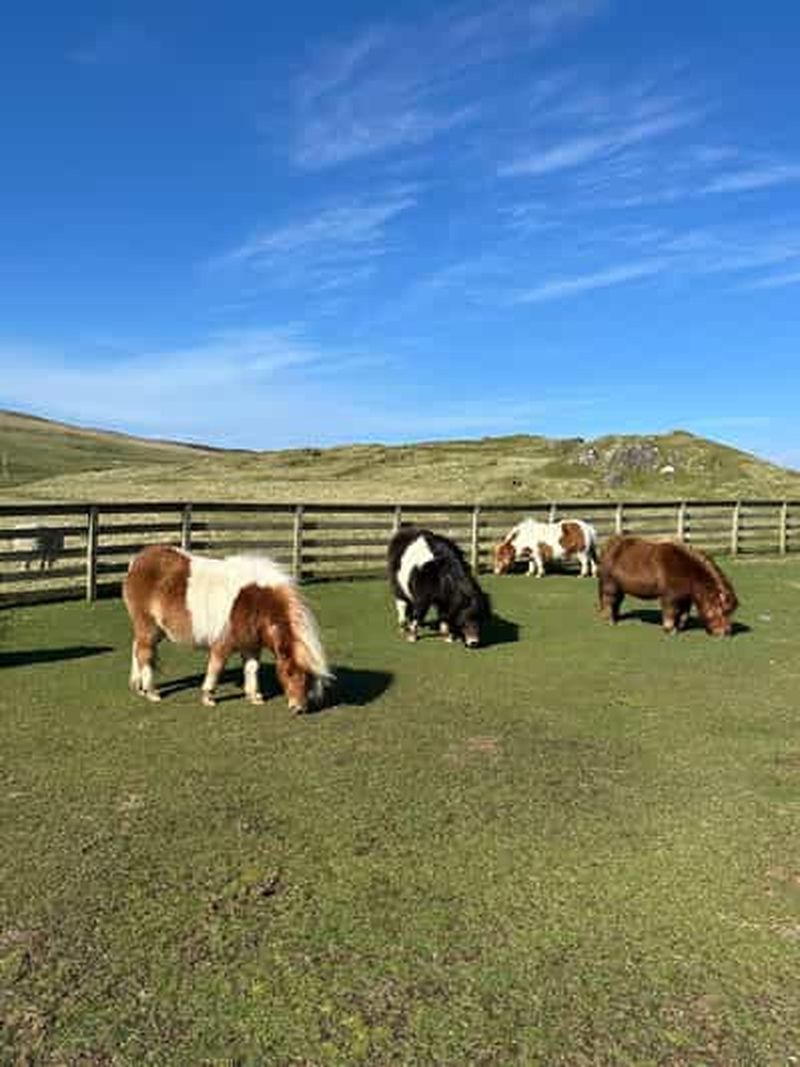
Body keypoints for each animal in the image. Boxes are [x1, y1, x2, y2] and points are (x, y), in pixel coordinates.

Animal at [123, 544, 332, 711]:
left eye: (309, 677)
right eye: (289, 672)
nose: (299, 708)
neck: (255, 602)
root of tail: (136, 561)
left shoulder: (250, 645)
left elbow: (252, 669)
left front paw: (254, 696)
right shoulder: (223, 643)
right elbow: (216, 668)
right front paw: (208, 696)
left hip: (157, 630)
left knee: (137, 649)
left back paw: (138, 686)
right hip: (148, 626)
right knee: (145, 653)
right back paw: (151, 692)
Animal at [597, 535, 738, 636]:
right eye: (723, 611)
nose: (725, 633)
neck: (687, 570)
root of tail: (608, 545)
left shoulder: (685, 598)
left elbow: (684, 614)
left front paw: (679, 628)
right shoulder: (670, 597)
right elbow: (671, 612)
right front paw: (669, 629)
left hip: (619, 587)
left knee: (617, 602)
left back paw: (616, 617)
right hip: (610, 585)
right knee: (609, 601)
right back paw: (610, 620)